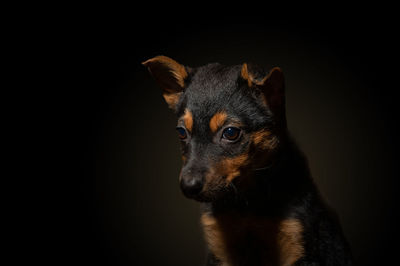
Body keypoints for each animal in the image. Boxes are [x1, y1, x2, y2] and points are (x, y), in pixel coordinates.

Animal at [142, 55, 352, 264]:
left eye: (230, 132)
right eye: (181, 132)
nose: (188, 187)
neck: (246, 204)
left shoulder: (303, 244)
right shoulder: (218, 249)